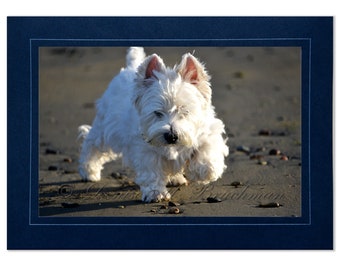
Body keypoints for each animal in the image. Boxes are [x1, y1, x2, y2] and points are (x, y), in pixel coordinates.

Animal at [78, 47, 230, 201]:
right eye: (157, 113)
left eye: (184, 111)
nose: (171, 136)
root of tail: (130, 67)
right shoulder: (145, 149)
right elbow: (152, 172)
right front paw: (156, 193)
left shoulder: (208, 133)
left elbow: (206, 152)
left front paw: (203, 171)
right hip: (106, 127)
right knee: (91, 143)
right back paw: (89, 171)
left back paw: (176, 178)